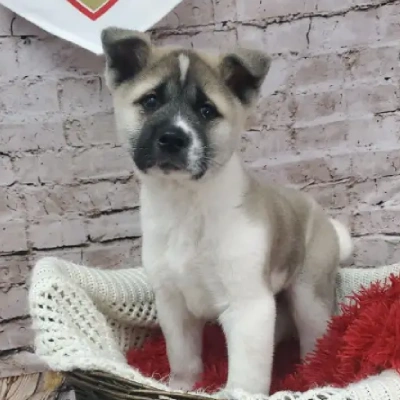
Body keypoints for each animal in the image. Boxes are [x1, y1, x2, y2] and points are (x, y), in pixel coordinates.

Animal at [101, 27, 354, 394]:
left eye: (207, 111)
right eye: (150, 101)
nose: (173, 138)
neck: (187, 205)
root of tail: (323, 219)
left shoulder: (249, 308)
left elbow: (246, 378)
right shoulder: (174, 307)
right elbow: (184, 361)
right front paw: (181, 388)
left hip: (309, 297)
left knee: (314, 343)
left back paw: (308, 378)